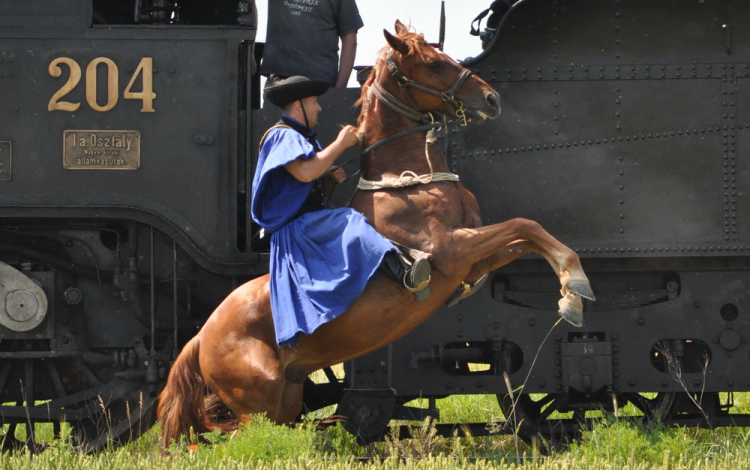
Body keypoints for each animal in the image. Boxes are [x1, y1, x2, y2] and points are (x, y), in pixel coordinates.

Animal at [156, 22, 596, 446]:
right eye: (434, 64)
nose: (491, 99)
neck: (408, 178)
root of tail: (201, 337)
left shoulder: (475, 257)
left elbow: (528, 235)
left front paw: (570, 294)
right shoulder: (454, 250)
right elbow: (525, 225)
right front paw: (577, 284)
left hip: (285, 396)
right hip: (261, 400)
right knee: (233, 435)